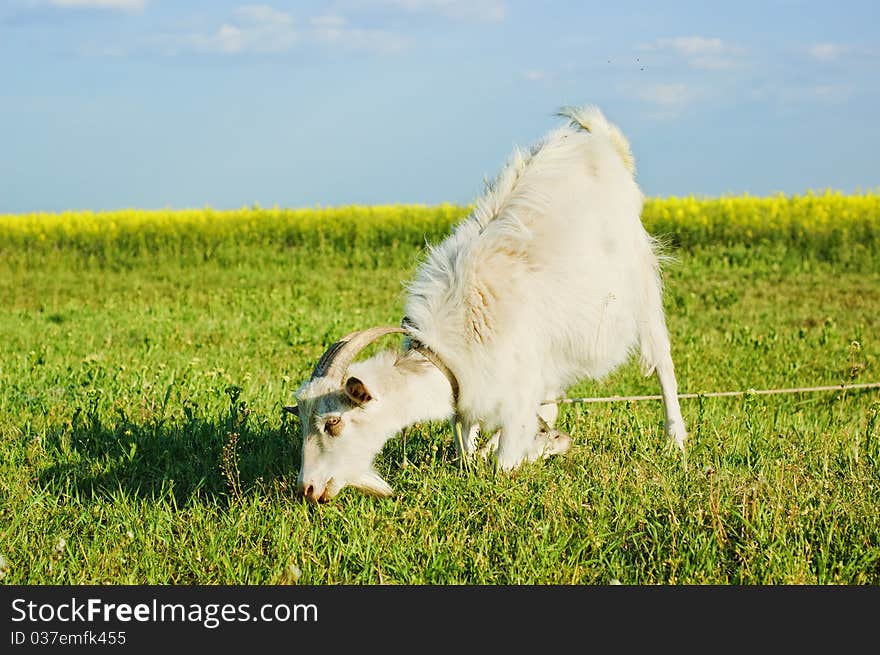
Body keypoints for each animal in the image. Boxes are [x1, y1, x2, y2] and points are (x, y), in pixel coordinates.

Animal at [290, 106, 688, 502]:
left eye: (334, 422)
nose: (308, 488)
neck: (453, 344)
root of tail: (599, 139)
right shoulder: (477, 392)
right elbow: (469, 447)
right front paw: (492, 451)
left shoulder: (517, 396)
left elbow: (504, 465)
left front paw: (526, 456)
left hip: (642, 282)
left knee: (663, 361)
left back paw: (675, 440)